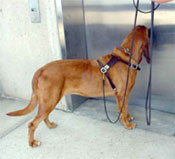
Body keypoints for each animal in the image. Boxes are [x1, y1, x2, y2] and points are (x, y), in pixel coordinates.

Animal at [6, 25, 149, 147]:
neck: (126, 57)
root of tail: (41, 69)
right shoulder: (122, 94)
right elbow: (123, 109)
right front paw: (127, 124)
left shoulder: (119, 95)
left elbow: (122, 109)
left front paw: (126, 117)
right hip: (50, 100)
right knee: (32, 123)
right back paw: (32, 142)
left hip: (50, 101)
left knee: (44, 116)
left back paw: (50, 125)